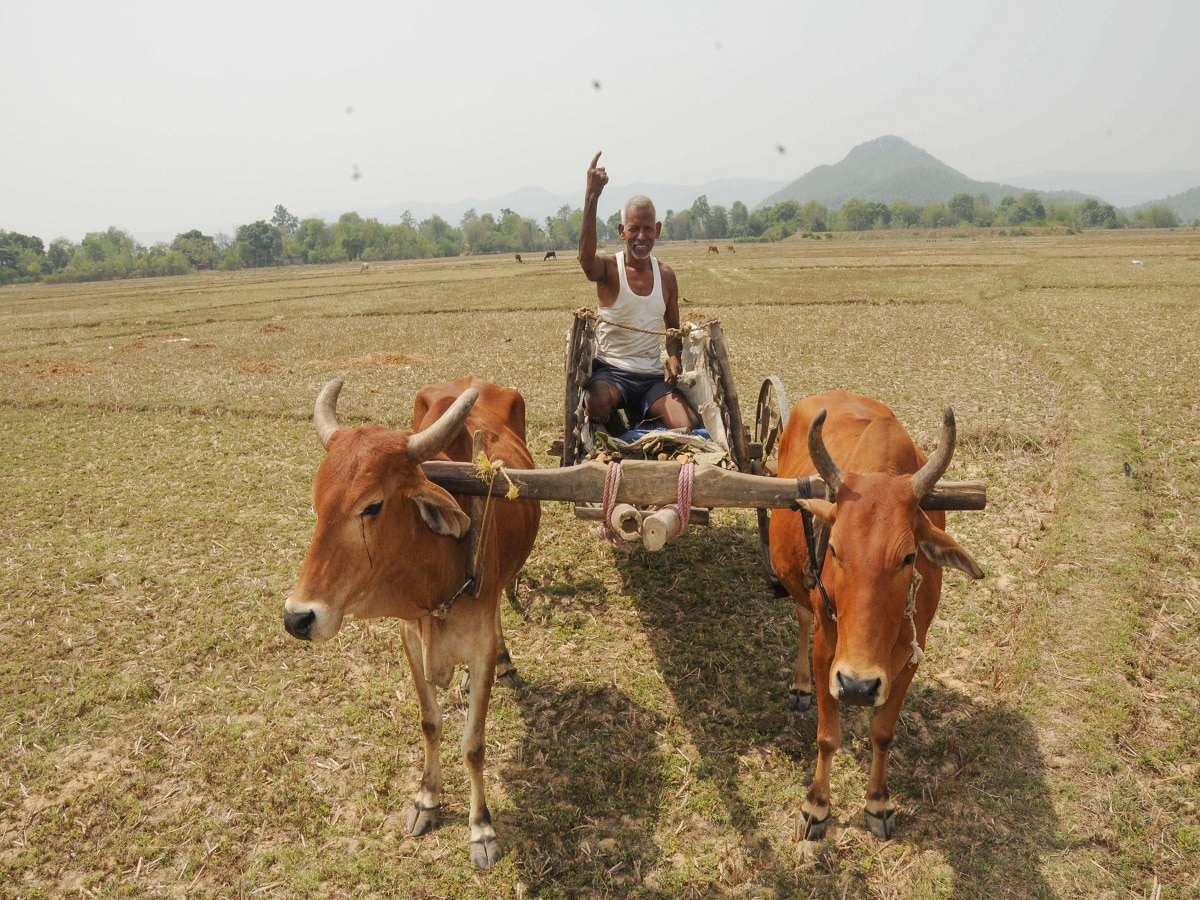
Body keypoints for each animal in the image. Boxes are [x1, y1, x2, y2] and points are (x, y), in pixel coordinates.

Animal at [283, 376, 542, 868]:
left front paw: (481, 827)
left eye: (372, 506)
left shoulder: (478, 648)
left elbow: (473, 744)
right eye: (317, 502)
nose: (298, 618)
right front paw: (427, 798)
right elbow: (430, 722)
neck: (442, 568)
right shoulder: (409, 634)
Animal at [768, 391, 984, 844]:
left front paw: (878, 801)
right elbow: (828, 736)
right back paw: (799, 685)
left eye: (908, 557)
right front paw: (816, 806)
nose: (857, 686)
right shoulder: (827, 651)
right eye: (834, 549)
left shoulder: (911, 655)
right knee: (801, 617)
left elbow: (883, 732)